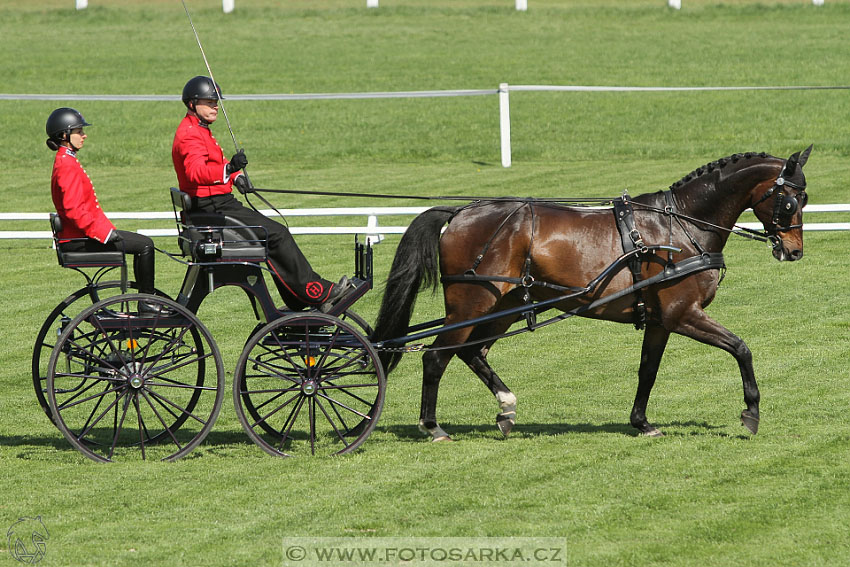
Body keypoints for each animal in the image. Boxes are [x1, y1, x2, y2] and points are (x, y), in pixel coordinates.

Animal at [372, 146, 808, 440]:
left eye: (805, 198)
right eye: (789, 201)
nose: (794, 251)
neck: (679, 228)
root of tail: (461, 212)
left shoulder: (662, 321)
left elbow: (647, 370)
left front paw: (642, 423)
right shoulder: (684, 313)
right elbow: (741, 348)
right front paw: (751, 411)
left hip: (503, 306)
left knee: (470, 352)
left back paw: (507, 409)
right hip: (469, 305)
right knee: (436, 357)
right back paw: (433, 427)